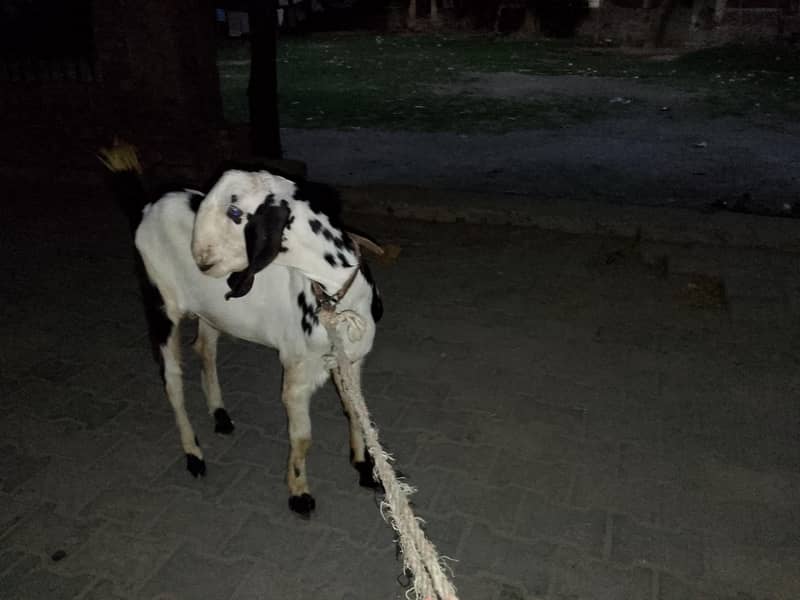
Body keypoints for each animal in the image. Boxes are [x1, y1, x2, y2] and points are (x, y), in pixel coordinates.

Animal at [101, 145, 383, 516]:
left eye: (234, 212)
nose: (200, 257)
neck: (335, 294)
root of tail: (147, 205)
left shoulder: (352, 361)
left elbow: (356, 410)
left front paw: (364, 467)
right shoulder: (297, 374)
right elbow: (302, 437)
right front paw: (299, 493)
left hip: (212, 312)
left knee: (204, 349)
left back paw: (219, 415)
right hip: (161, 307)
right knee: (173, 383)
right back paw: (193, 454)